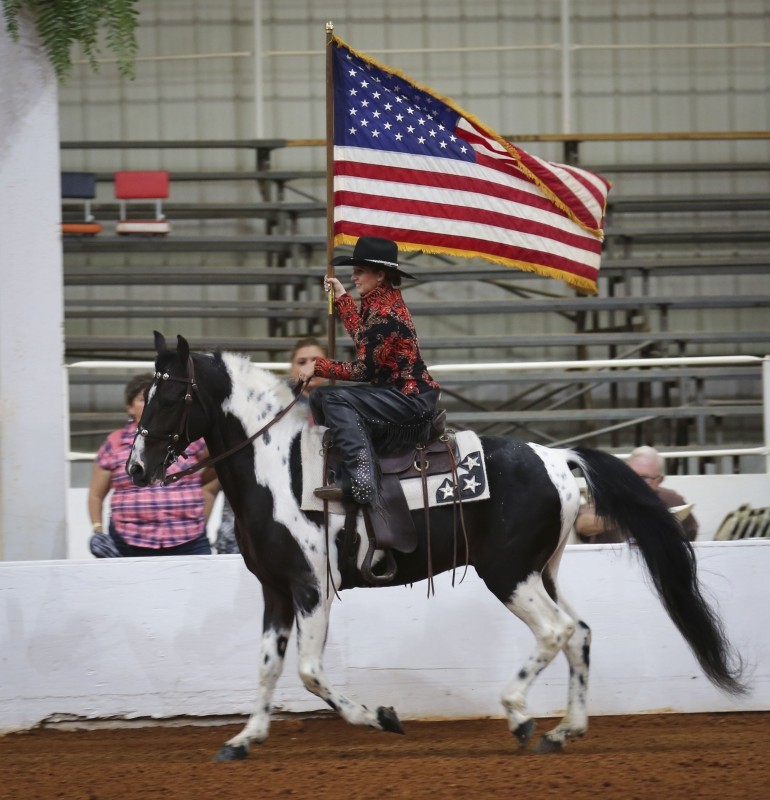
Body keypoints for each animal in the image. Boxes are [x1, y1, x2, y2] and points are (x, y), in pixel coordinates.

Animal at [127, 334, 744, 760]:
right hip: (542, 571)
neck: (281, 469)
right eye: (147, 393)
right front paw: (244, 738)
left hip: (509, 574)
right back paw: (565, 729)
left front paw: (381, 716)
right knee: (581, 633)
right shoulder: (277, 590)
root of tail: (559, 458)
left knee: (557, 631)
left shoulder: (312, 588)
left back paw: (520, 717)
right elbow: (266, 667)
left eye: (173, 394)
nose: (136, 468)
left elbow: (309, 672)